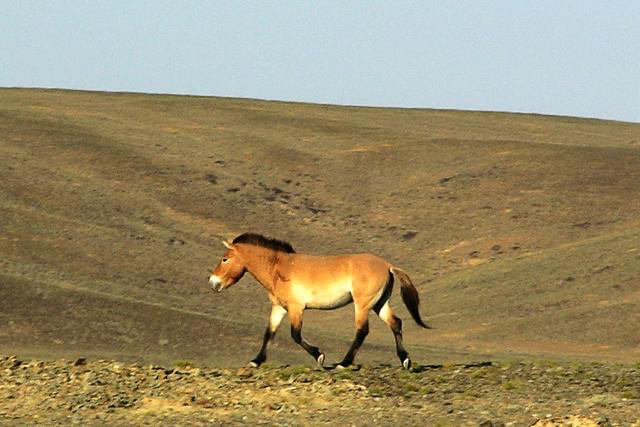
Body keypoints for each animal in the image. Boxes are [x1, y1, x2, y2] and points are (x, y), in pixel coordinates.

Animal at [209, 234, 430, 372]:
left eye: (225, 259)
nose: (213, 283)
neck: (279, 268)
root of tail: (388, 265)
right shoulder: (279, 308)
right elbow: (269, 333)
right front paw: (256, 361)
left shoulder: (296, 309)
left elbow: (295, 335)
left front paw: (320, 356)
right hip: (379, 304)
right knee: (395, 323)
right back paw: (405, 360)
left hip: (362, 305)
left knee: (362, 331)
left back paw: (343, 363)